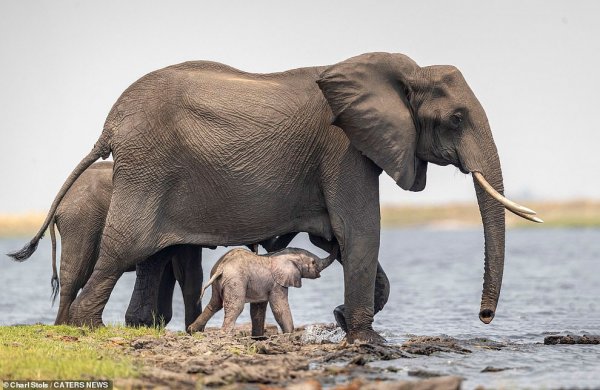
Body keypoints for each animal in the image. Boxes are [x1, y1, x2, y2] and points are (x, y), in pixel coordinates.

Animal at [188, 247, 336, 336]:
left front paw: (258, 336)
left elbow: (257, 310)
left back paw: (192, 330)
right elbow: (279, 308)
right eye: (313, 262)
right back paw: (225, 334)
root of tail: (222, 266)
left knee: (214, 304)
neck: (282, 254)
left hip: (219, 280)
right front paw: (290, 334)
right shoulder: (277, 283)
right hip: (236, 281)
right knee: (235, 307)